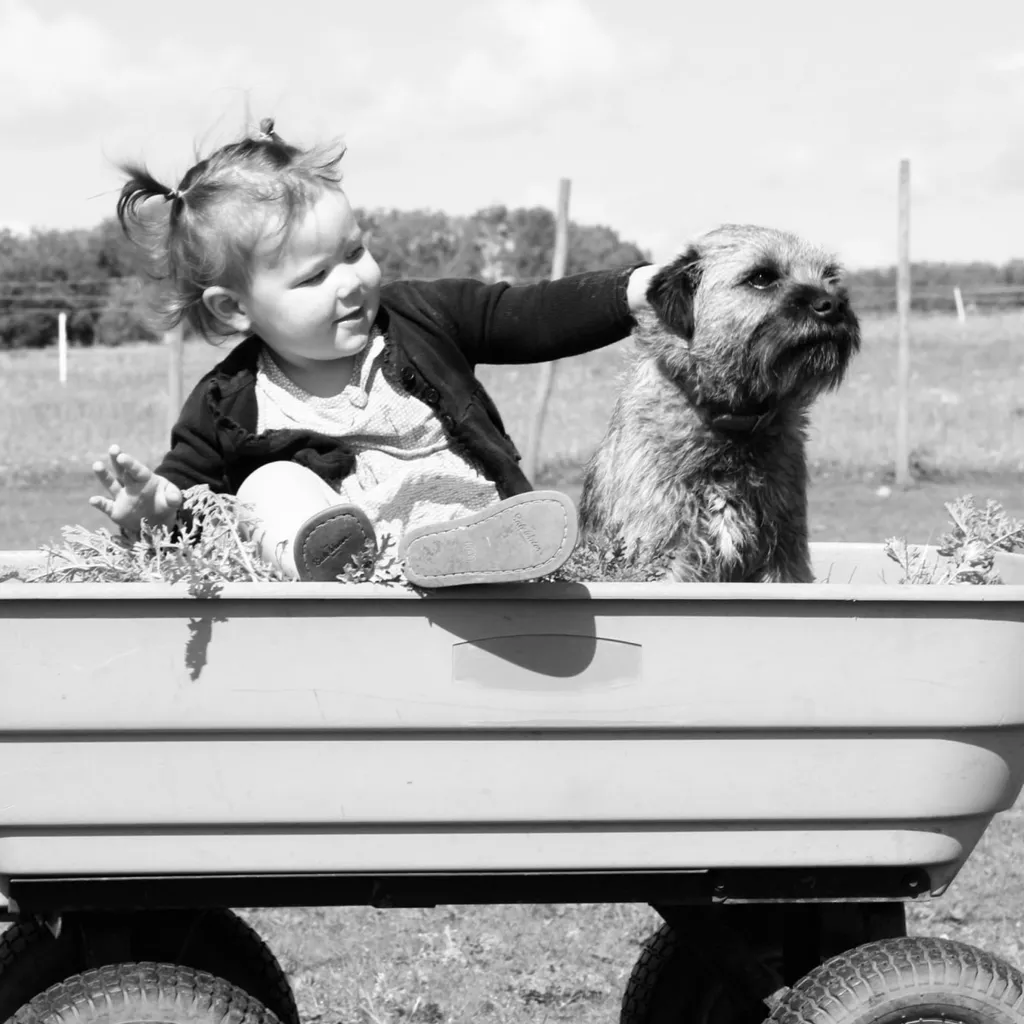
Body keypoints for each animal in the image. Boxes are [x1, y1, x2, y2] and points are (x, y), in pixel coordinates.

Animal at [581, 228, 860, 589]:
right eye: (761, 278)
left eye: (830, 277)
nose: (834, 304)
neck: (732, 422)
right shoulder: (663, 554)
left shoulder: (784, 555)